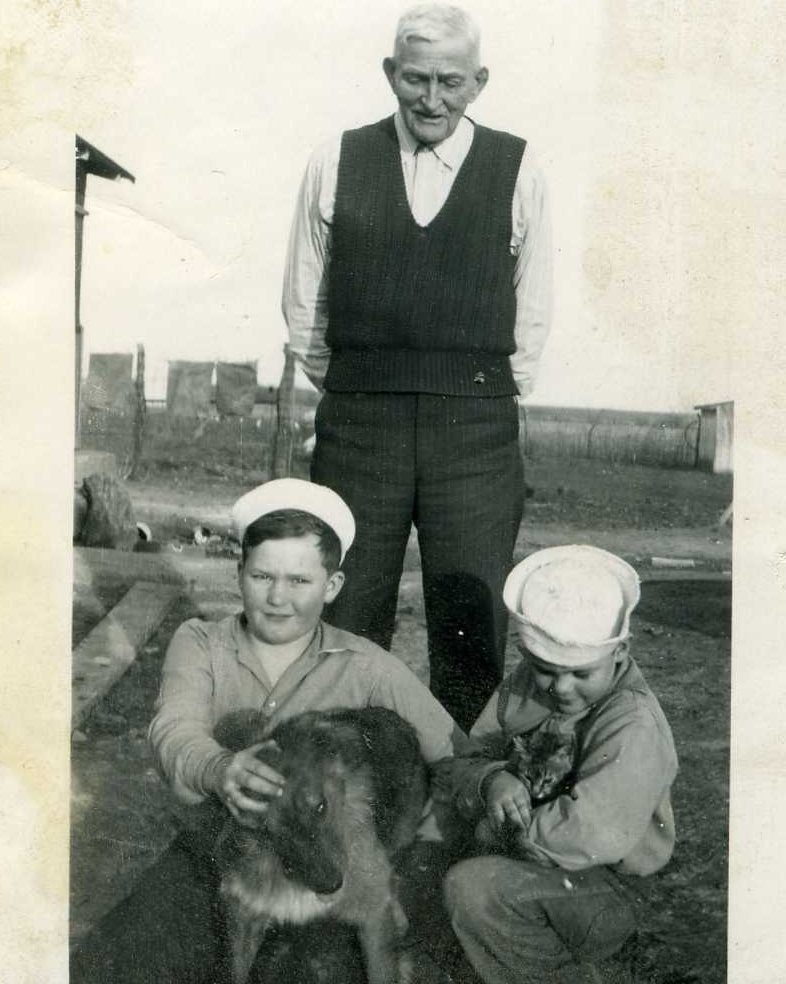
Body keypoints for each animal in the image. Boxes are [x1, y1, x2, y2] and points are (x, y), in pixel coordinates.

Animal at [211, 708, 426, 984]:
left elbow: (381, 969)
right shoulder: (243, 916)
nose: (330, 885)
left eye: (321, 806)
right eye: (266, 829)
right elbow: (234, 969)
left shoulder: (372, 913)